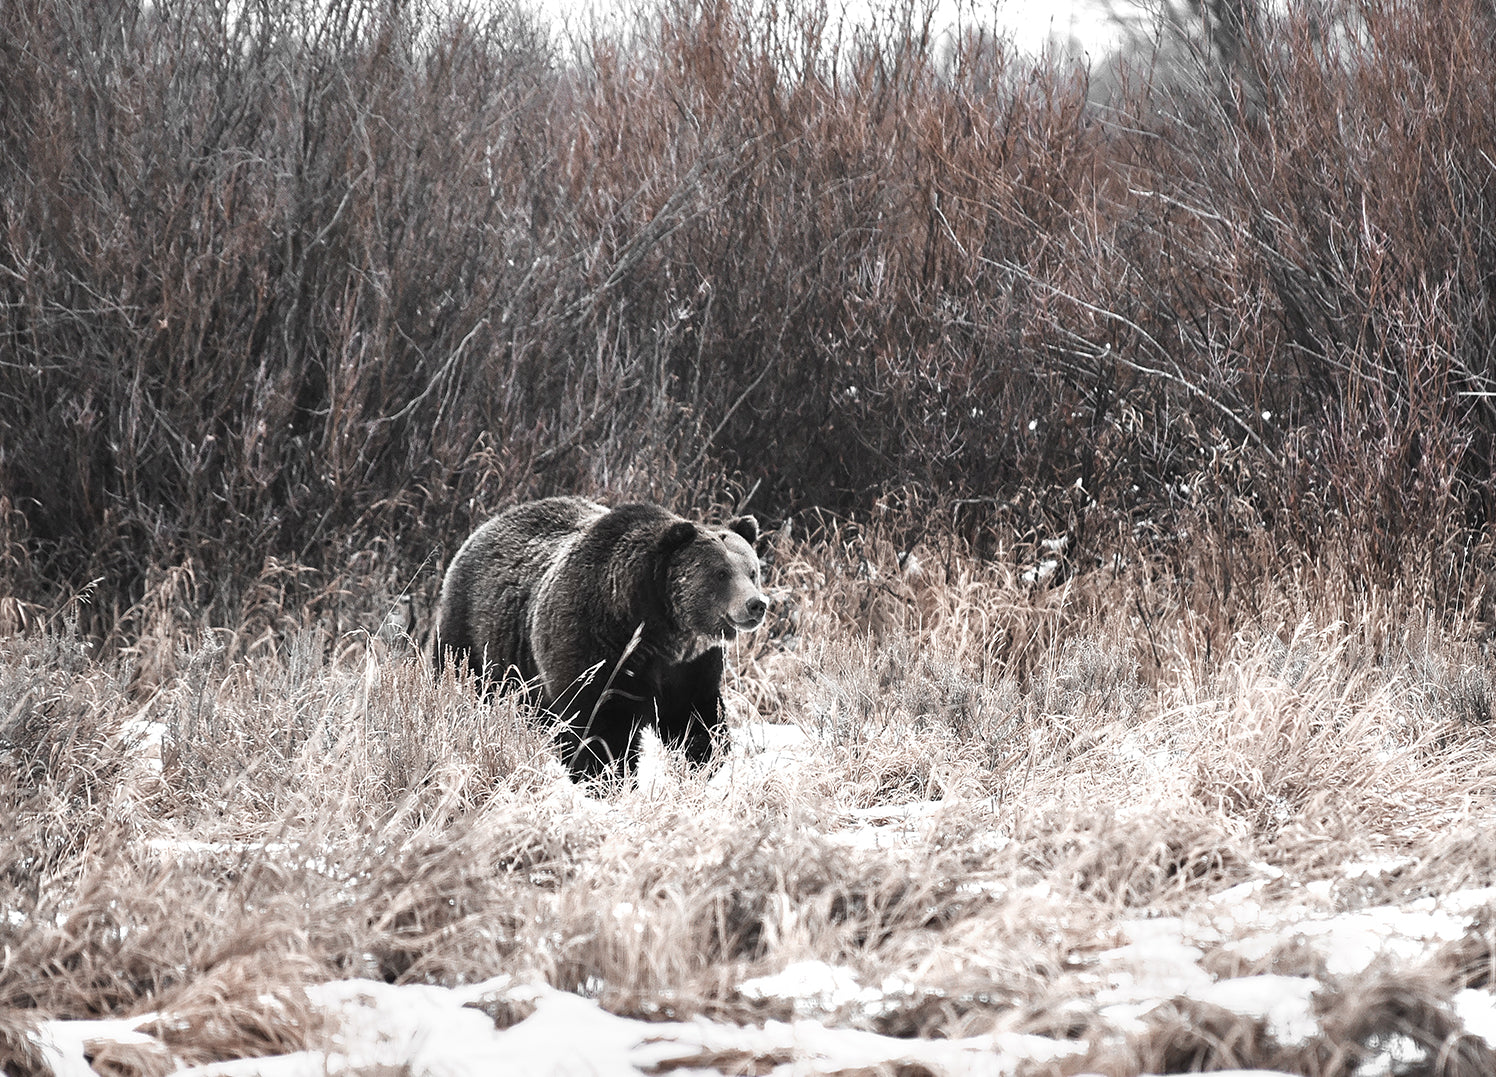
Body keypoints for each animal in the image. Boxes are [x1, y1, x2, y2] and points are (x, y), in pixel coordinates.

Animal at [433, 496, 768, 780]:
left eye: (752, 571)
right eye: (721, 573)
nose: (756, 604)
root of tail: (486, 526)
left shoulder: (690, 667)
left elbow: (695, 721)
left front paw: (706, 763)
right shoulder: (596, 644)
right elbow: (598, 726)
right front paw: (606, 776)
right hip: (474, 637)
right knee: (462, 680)